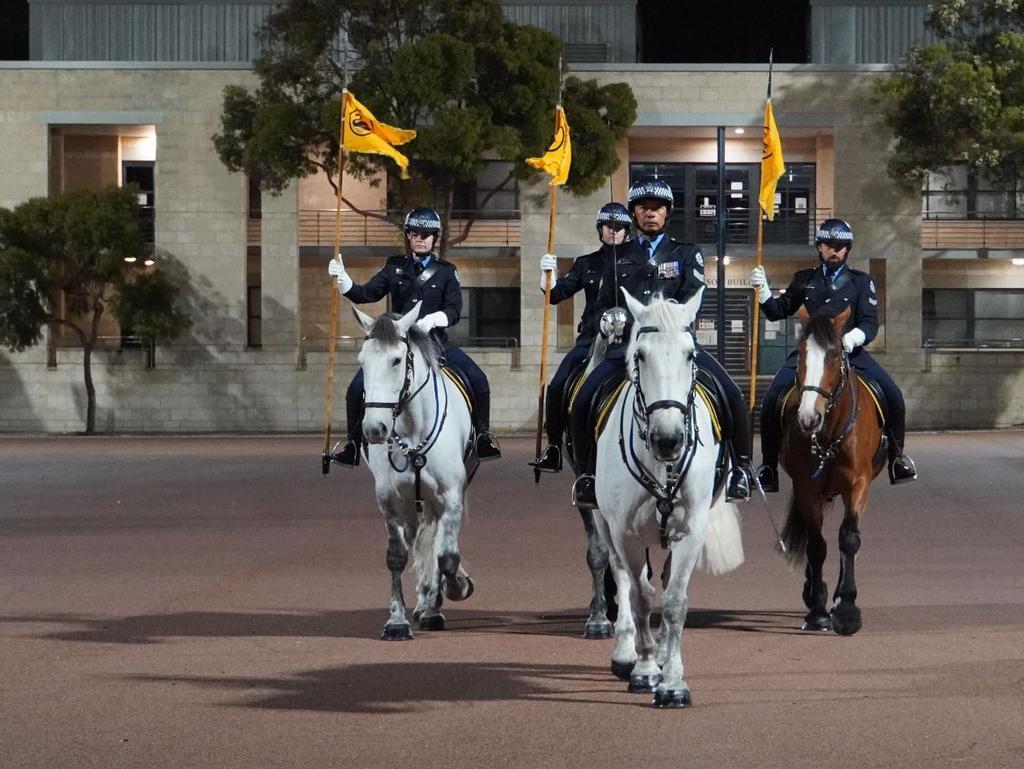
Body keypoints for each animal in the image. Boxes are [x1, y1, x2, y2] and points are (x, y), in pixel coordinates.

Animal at [354, 303, 477, 638]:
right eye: (362, 362)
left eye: (396, 360)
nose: (375, 429)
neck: (411, 431)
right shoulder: (390, 500)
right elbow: (397, 556)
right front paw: (397, 621)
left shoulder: (451, 496)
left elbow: (446, 556)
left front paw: (456, 587)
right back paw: (424, 601)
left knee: (436, 545)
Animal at [593, 290, 745, 708]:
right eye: (640, 355)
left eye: (690, 354)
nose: (668, 439)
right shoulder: (625, 531)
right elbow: (641, 596)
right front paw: (644, 670)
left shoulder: (691, 528)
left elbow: (675, 601)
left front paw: (673, 681)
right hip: (602, 520)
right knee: (621, 575)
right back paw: (627, 652)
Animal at [778, 307, 884, 638]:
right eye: (801, 353)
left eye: (836, 353)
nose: (808, 417)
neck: (829, 432)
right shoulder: (806, 488)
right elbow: (816, 545)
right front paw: (817, 609)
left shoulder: (859, 484)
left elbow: (849, 539)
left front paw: (847, 609)